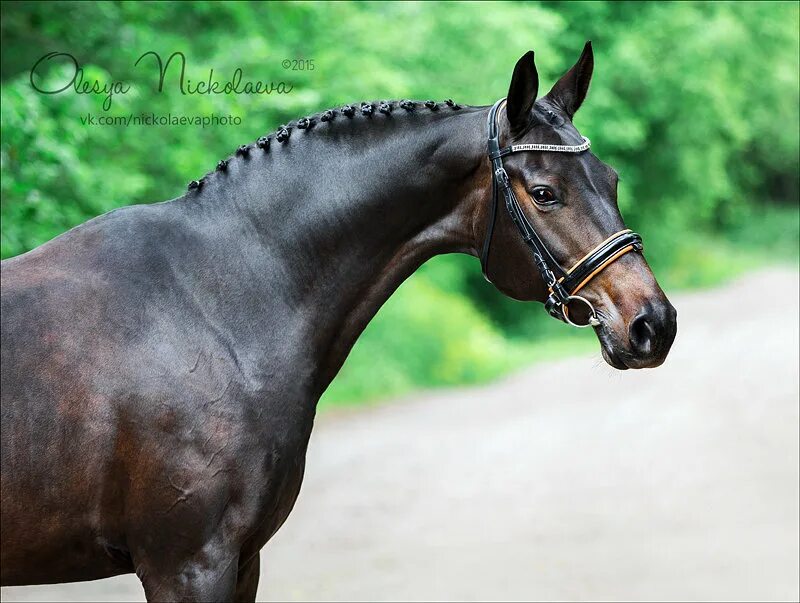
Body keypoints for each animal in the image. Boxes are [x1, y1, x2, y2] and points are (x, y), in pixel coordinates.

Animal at [0, 44, 676, 600]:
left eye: (612, 180)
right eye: (544, 193)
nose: (654, 324)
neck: (219, 301)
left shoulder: (241, 563)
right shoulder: (186, 565)